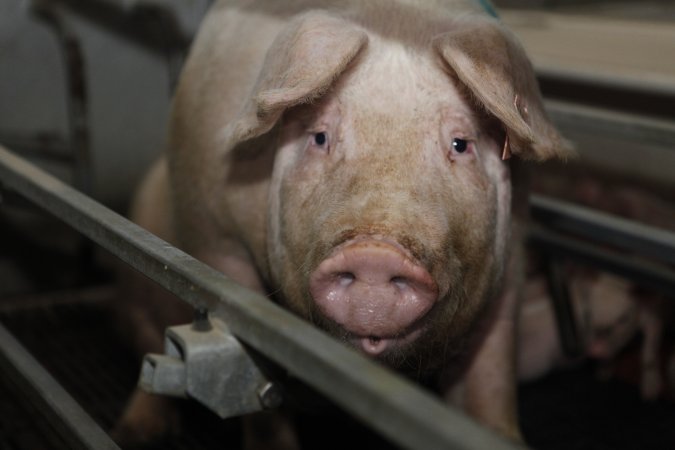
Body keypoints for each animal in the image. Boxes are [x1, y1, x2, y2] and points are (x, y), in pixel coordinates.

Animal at [113, 0, 572, 446]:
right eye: (319, 137)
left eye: (461, 144)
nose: (376, 255)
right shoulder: (211, 233)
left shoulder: (511, 254)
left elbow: (489, 378)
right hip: (136, 283)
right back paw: (139, 432)